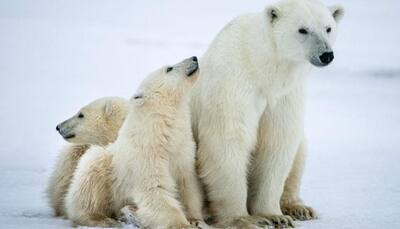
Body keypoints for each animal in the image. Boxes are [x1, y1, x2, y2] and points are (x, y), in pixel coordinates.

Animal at [66, 56, 203, 228]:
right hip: (102, 167)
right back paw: (102, 219)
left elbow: (187, 185)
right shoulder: (146, 156)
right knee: (88, 188)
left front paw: (195, 219)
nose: (194, 57)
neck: (160, 133)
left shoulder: (183, 151)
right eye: (169, 68)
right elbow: (154, 189)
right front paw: (181, 224)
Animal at [191, 0, 344, 228]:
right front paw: (244, 219)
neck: (263, 68)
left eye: (328, 28)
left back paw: (299, 208)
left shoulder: (284, 96)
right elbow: (228, 142)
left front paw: (275, 216)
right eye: (303, 29)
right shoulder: (234, 84)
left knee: (299, 152)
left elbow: (276, 145)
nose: (326, 55)